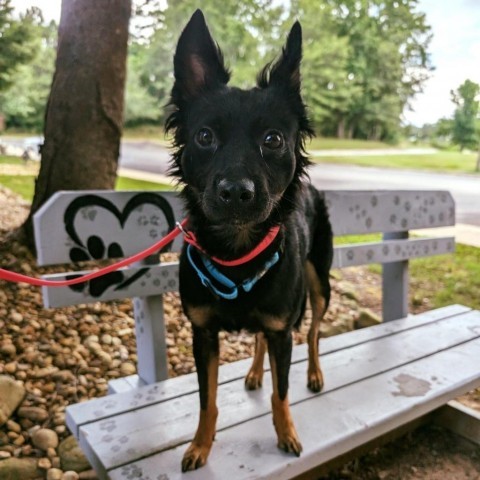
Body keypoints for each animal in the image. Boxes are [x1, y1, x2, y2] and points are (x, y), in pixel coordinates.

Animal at [167, 9, 332, 470]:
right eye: (204, 136)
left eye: (272, 139)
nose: (237, 191)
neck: (237, 254)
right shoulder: (202, 334)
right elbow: (207, 400)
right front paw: (200, 446)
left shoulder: (282, 331)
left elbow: (282, 392)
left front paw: (287, 433)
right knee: (261, 340)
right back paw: (257, 371)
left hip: (319, 285)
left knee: (313, 332)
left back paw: (314, 373)